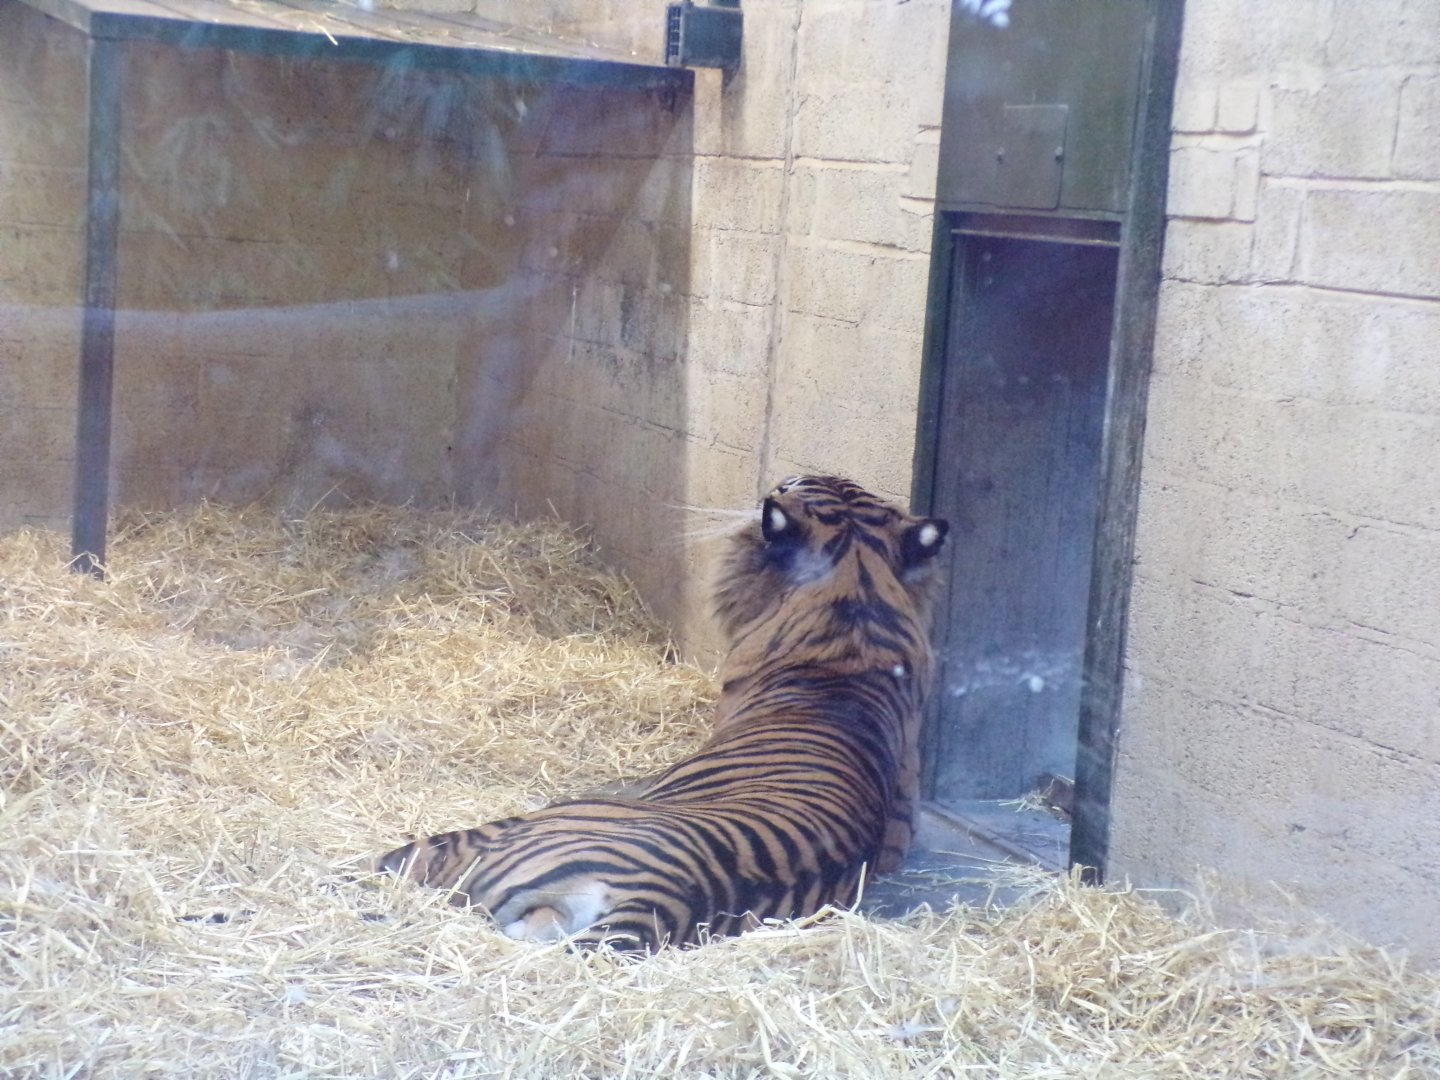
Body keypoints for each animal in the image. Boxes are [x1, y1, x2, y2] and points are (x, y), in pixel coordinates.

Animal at [375, 474, 949, 951]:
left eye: (794, 486)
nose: (783, 476)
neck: (858, 610)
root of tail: (655, 896)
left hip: (507, 830)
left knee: (395, 859)